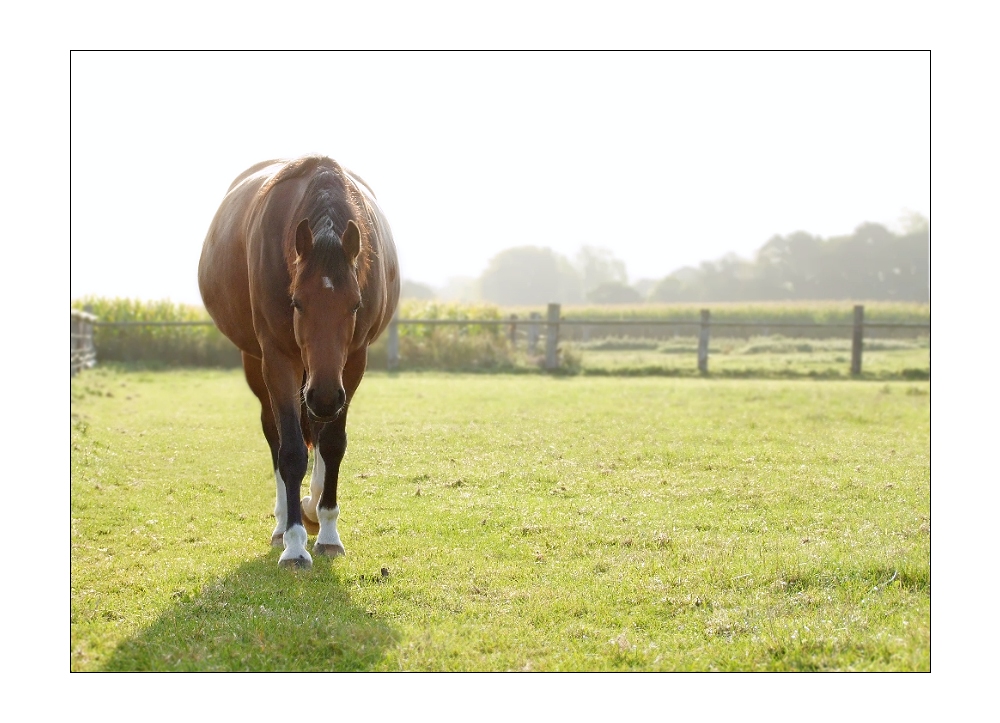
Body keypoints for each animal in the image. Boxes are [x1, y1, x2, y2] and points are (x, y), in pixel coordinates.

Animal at [197, 156, 400, 568]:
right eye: (297, 303)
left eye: (355, 304)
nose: (324, 396)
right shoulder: (278, 358)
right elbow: (290, 450)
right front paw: (294, 544)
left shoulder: (352, 363)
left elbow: (332, 444)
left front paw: (327, 530)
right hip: (261, 365)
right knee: (275, 436)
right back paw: (282, 525)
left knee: (319, 434)